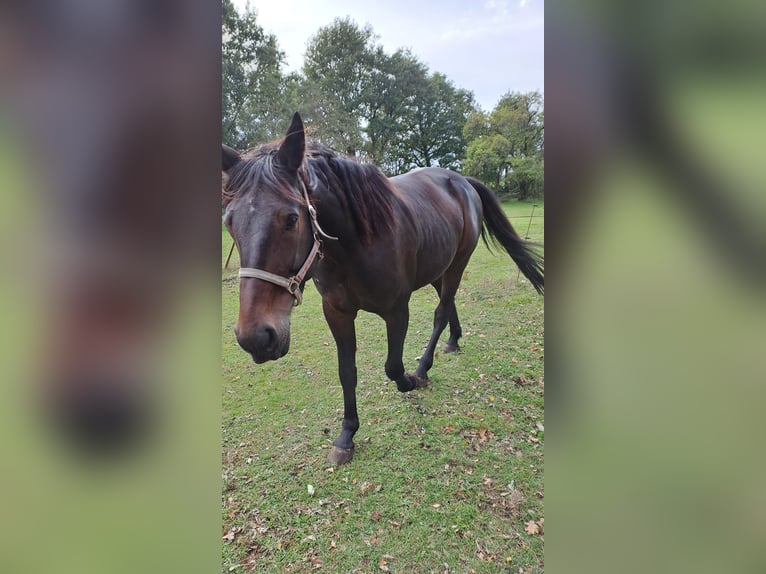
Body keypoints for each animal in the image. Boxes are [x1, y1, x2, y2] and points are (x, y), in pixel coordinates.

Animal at [224, 113, 544, 468]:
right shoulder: (336, 312)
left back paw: (424, 368)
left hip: (457, 264)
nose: (255, 338)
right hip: (438, 267)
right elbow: (346, 371)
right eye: (229, 222)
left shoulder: (396, 310)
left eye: (292, 219)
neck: (356, 244)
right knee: (448, 305)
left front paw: (409, 381)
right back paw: (453, 341)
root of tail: (461, 180)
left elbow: (393, 367)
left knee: (441, 312)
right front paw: (347, 435)